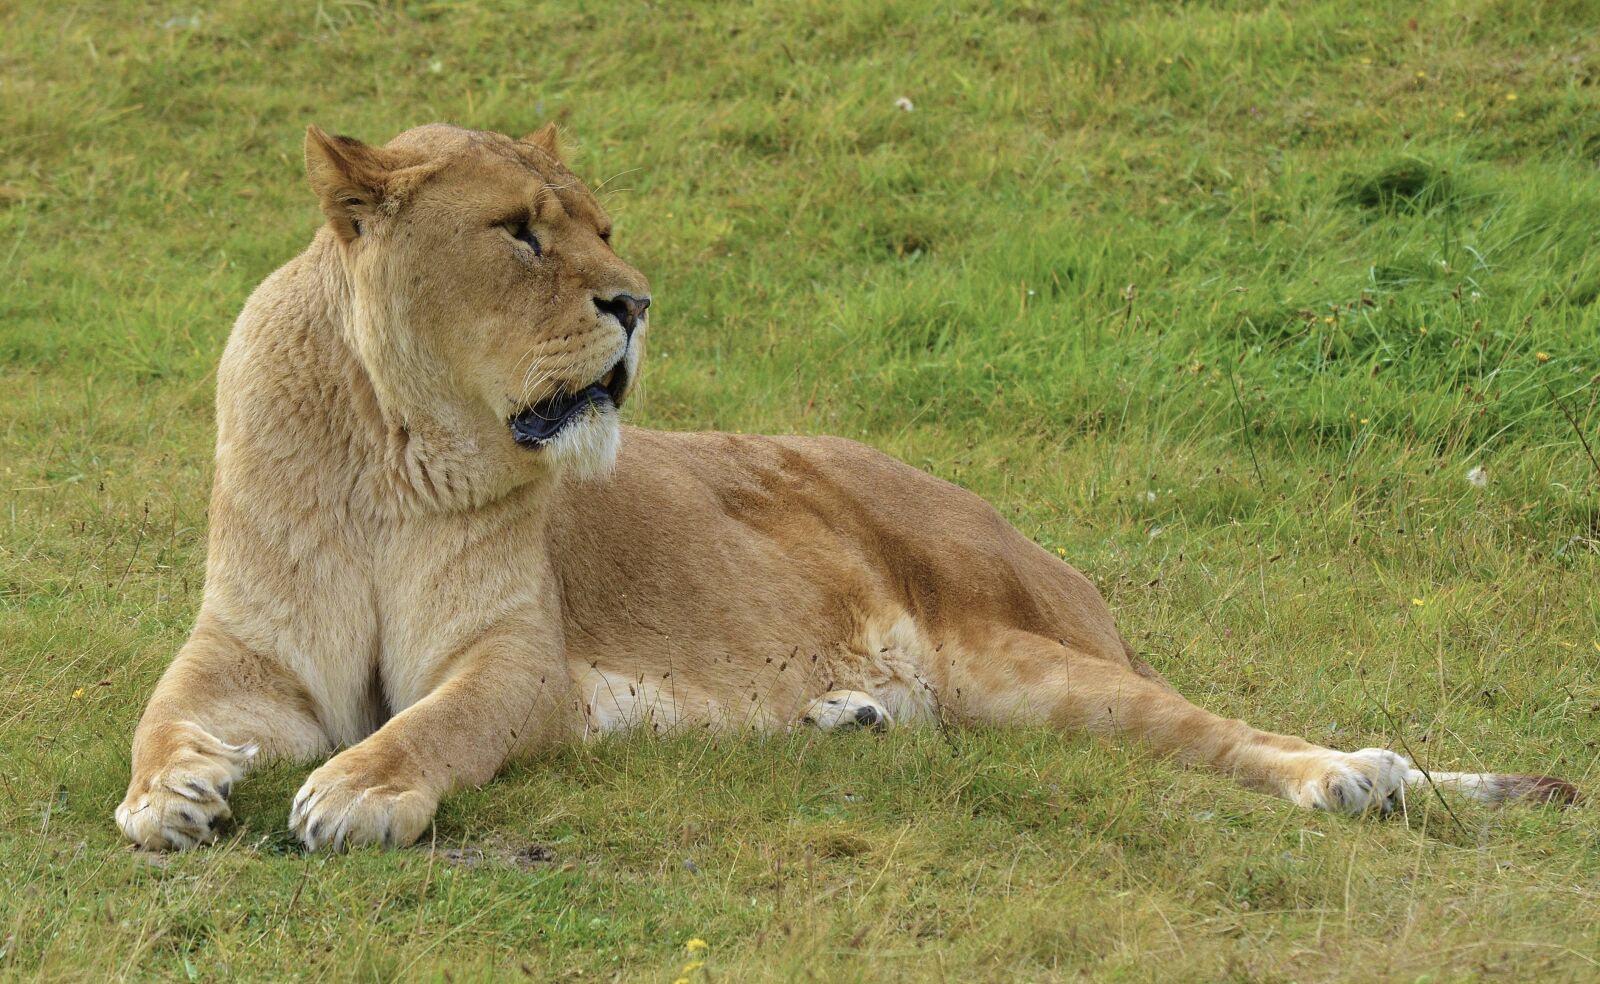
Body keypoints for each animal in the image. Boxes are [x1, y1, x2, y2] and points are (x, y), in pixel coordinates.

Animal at [116, 124, 1576, 852]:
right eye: (519, 232)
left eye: (599, 225)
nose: (635, 302)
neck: (393, 445)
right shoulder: (250, 656)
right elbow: (166, 716)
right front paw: (168, 801)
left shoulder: (514, 658)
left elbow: (439, 726)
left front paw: (358, 794)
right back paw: (852, 717)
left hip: (1025, 663)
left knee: (1224, 735)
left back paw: (1359, 781)